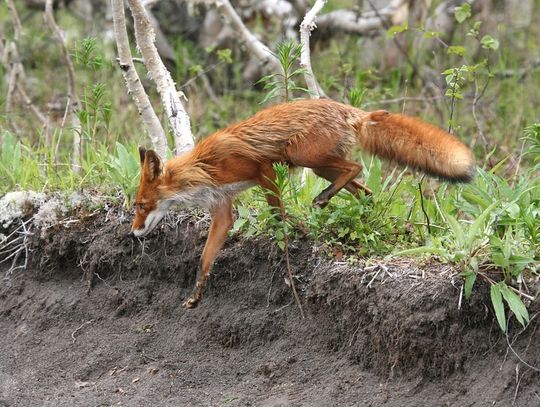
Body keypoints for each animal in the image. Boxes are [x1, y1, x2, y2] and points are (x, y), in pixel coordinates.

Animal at [130, 99, 472, 310]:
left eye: (141, 205)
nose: (133, 234)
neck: (203, 168)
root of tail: (350, 110)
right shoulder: (223, 209)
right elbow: (205, 259)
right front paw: (196, 295)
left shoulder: (262, 169)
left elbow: (277, 212)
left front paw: (296, 233)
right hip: (321, 166)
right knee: (364, 190)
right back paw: (369, 217)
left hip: (304, 156)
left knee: (355, 169)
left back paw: (322, 200)